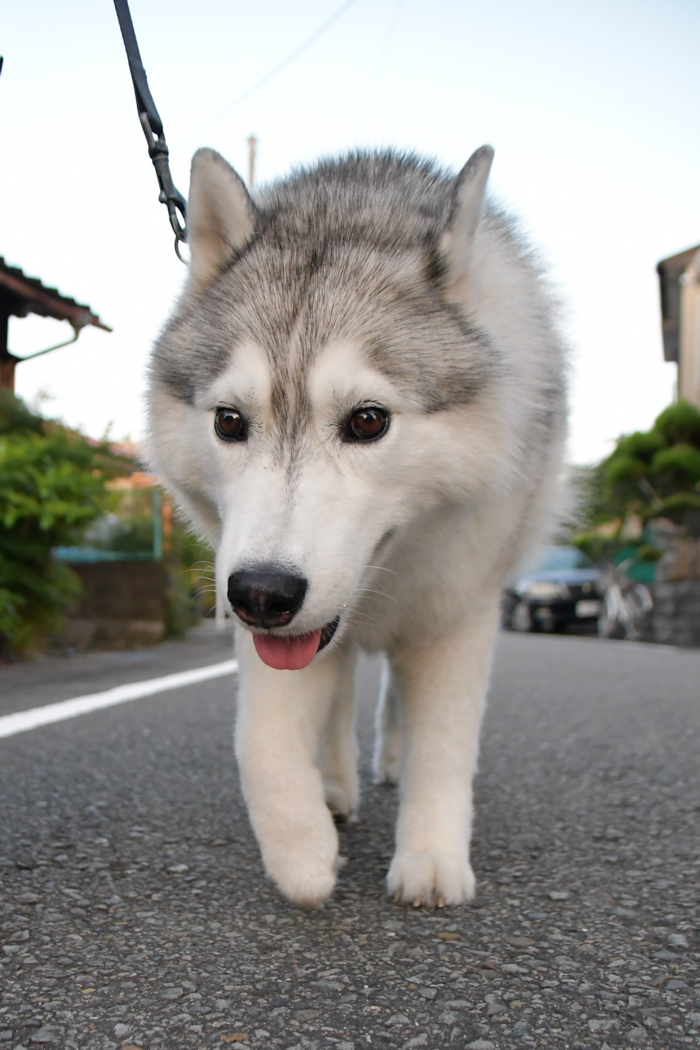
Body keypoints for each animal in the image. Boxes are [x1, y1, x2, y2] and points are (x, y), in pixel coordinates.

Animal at [147, 145, 570, 911]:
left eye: (368, 420)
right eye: (229, 421)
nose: (261, 594)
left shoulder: (457, 613)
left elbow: (445, 748)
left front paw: (431, 856)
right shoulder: (268, 615)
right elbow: (261, 744)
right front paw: (302, 854)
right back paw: (335, 787)